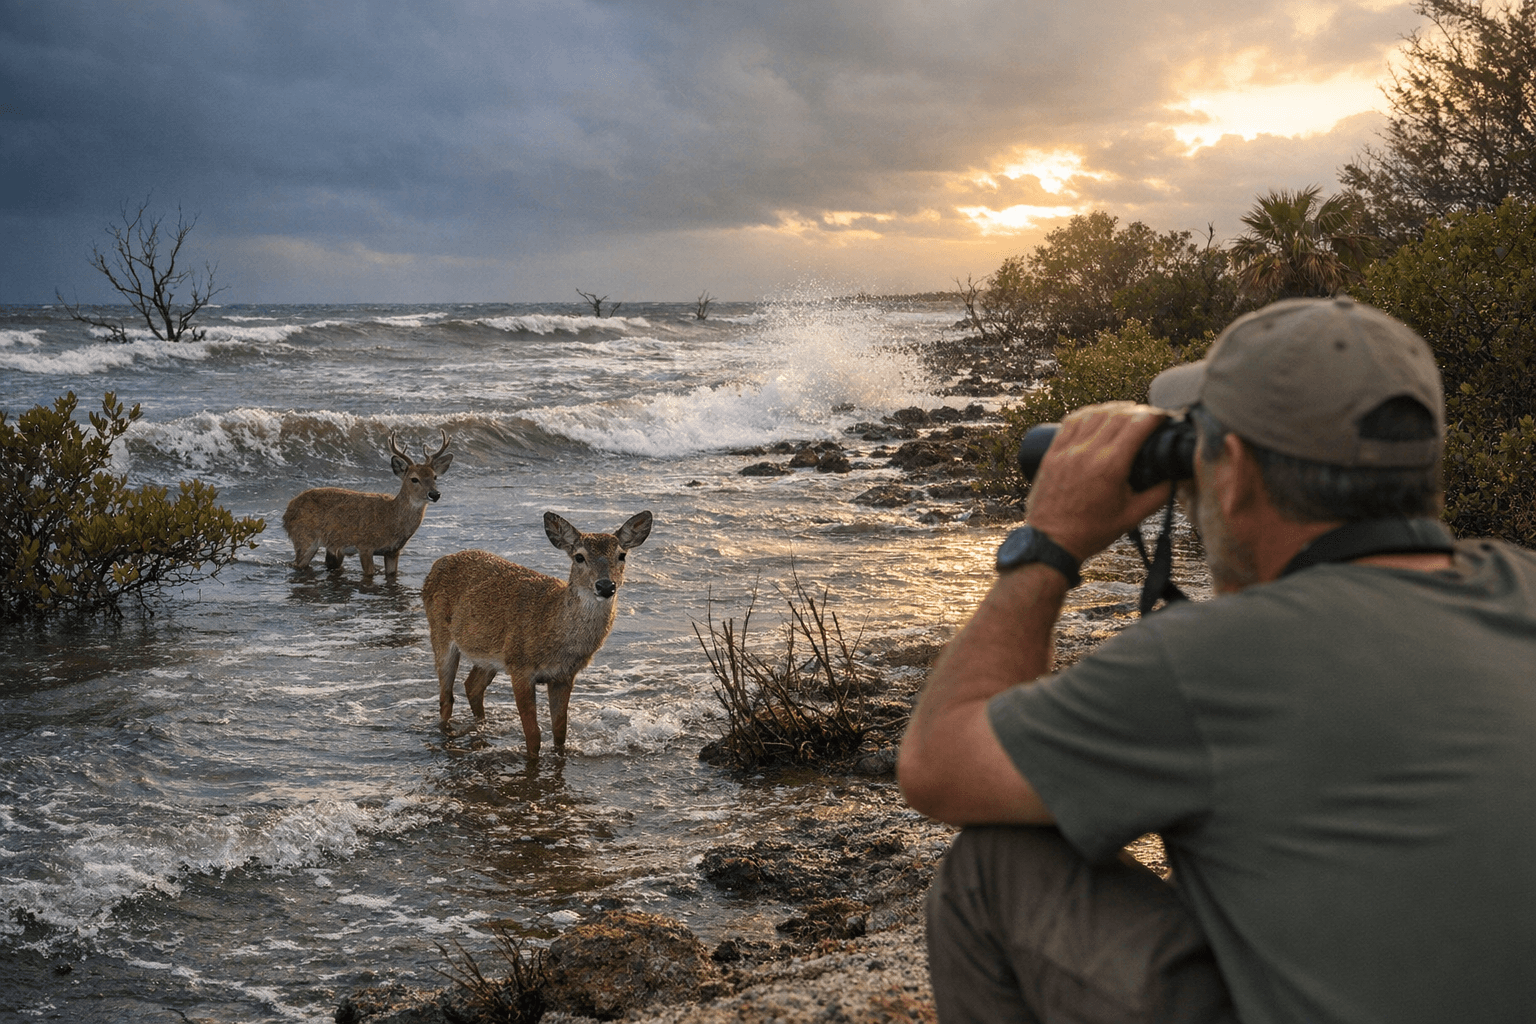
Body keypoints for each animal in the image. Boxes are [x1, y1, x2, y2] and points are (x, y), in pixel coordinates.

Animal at [282, 430, 453, 578]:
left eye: (435, 476)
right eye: (414, 479)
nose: (434, 494)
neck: (392, 517)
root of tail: (287, 510)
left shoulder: (393, 551)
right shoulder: (364, 546)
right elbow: (369, 574)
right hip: (304, 538)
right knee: (297, 564)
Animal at [422, 510, 653, 756]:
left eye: (622, 555)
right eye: (579, 557)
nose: (605, 586)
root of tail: (437, 564)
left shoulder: (564, 676)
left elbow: (560, 731)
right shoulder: (520, 668)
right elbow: (533, 735)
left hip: (489, 656)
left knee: (472, 686)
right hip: (440, 633)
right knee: (446, 697)